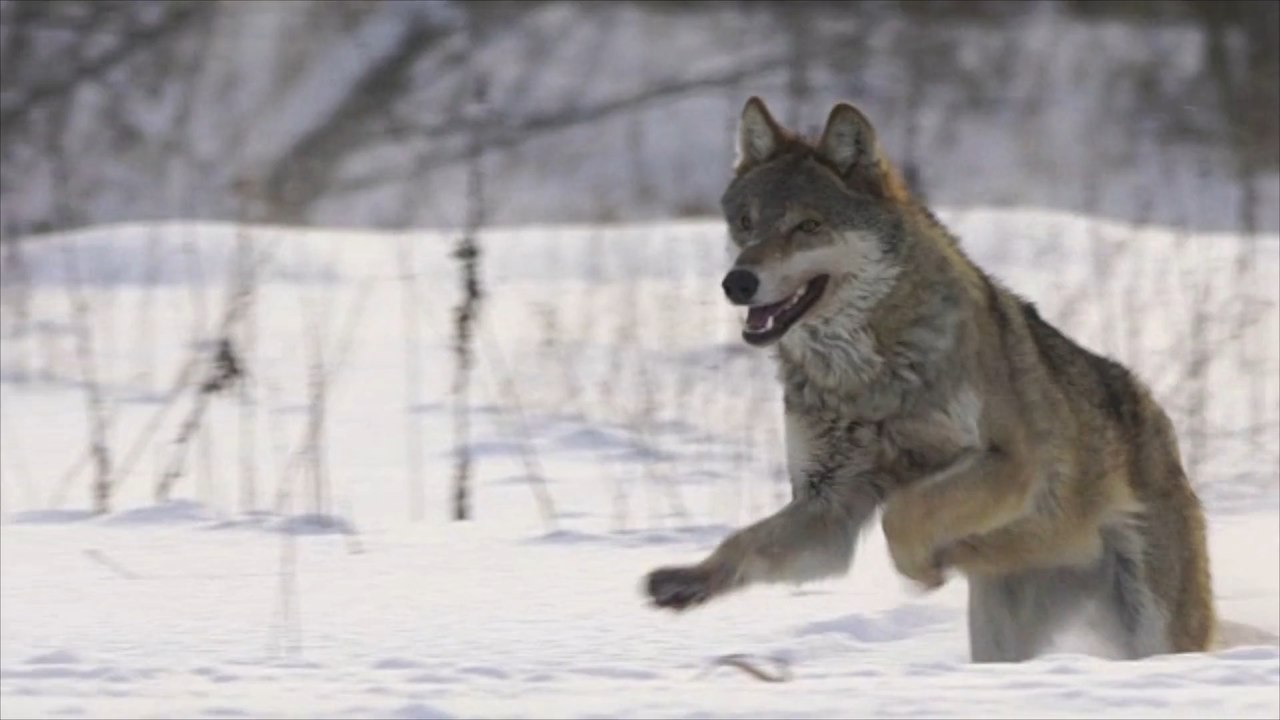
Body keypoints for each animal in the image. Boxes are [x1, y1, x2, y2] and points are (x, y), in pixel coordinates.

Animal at [642, 96, 1220, 662]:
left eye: (807, 226)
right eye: (745, 222)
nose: (737, 281)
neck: (864, 383)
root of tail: (1158, 422)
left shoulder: (1012, 464)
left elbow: (901, 512)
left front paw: (924, 568)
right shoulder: (828, 506)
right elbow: (744, 543)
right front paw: (686, 580)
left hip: (1151, 629)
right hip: (996, 643)